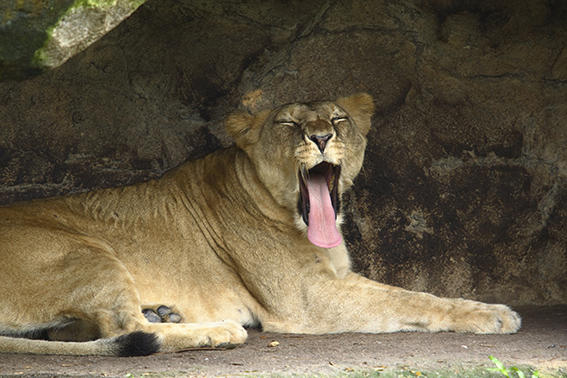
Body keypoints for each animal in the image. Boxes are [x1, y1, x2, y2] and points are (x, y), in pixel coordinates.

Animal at [0, 93, 520, 356]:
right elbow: (410, 298)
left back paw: (167, 314)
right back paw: (216, 331)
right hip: (84, 252)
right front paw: (494, 314)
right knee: (124, 326)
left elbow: (407, 295)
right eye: (288, 124)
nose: (321, 136)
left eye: (338, 118)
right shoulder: (309, 300)